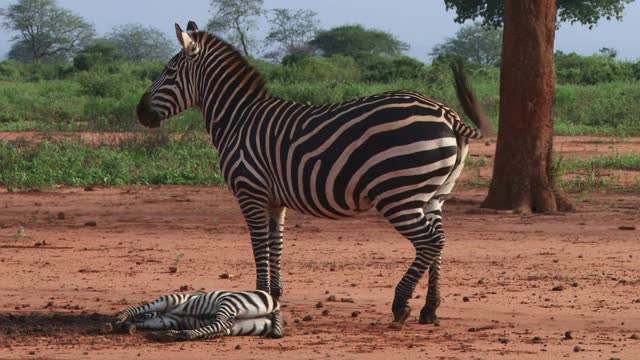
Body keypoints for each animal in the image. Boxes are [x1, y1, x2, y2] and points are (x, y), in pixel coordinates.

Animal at [112, 288, 282, 342]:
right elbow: (141, 320)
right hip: (243, 326)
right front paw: (127, 325)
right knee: (221, 328)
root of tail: (276, 305)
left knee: (220, 323)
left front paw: (119, 318)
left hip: (230, 301)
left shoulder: (173, 299)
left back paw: (181, 334)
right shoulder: (165, 320)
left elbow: (137, 309)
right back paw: (176, 334)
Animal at [136, 21, 496, 328]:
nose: (140, 113)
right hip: (434, 194)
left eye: (169, 71)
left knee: (429, 242)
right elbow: (276, 243)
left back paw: (401, 304)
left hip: (398, 194)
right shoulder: (274, 199)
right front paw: (274, 295)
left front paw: (260, 295)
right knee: (440, 242)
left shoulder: (250, 190)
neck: (238, 118)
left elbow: (258, 244)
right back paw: (430, 309)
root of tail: (447, 114)